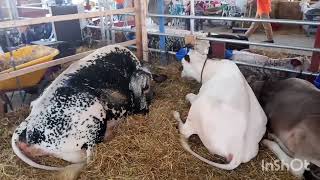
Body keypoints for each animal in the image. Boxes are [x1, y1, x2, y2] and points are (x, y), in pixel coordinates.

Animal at [172, 41, 268, 170]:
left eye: (183, 65)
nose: (180, 72)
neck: (211, 67)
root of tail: (238, 152)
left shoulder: (200, 94)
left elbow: (190, 96)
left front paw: (187, 97)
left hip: (197, 109)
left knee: (185, 131)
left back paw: (176, 115)